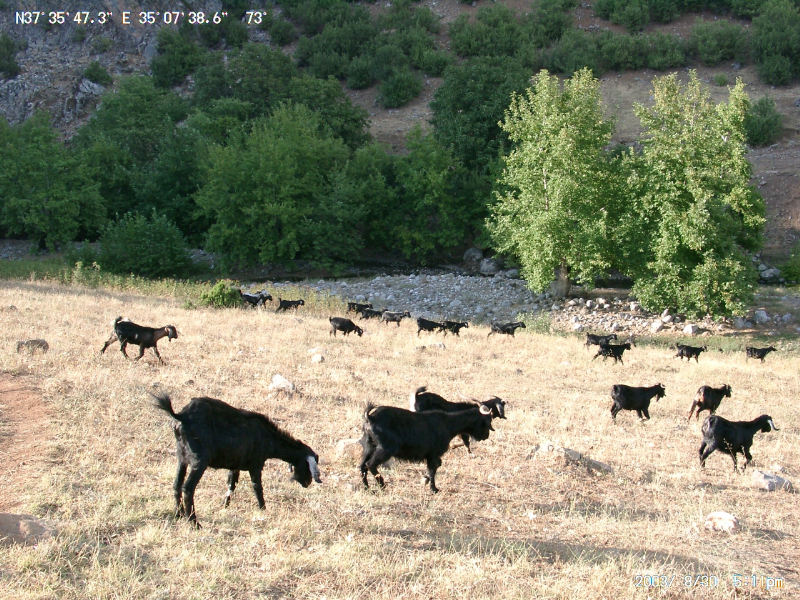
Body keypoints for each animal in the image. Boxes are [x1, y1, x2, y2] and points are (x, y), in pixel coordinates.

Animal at [153, 390, 322, 524]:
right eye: (306, 465)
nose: (307, 483)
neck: (267, 435)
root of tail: (181, 416)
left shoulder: (235, 465)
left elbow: (231, 485)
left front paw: (224, 505)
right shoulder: (256, 465)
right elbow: (257, 487)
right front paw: (263, 508)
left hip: (182, 457)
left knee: (176, 484)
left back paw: (178, 514)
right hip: (199, 461)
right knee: (187, 488)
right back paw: (194, 523)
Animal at [358, 400, 494, 494]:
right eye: (487, 422)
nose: (486, 436)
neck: (449, 424)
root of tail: (370, 417)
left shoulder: (432, 455)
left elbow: (435, 466)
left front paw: (425, 479)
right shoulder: (434, 454)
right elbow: (433, 469)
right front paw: (433, 488)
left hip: (369, 447)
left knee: (362, 466)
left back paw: (367, 488)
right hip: (386, 449)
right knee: (370, 464)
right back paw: (382, 485)